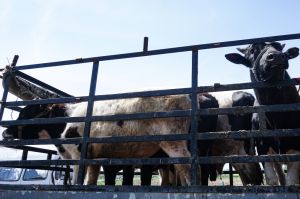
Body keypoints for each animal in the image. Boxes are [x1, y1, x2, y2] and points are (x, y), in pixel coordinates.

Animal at [225, 41, 300, 185]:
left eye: (278, 47)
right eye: (253, 50)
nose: (276, 56)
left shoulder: (296, 149)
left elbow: (291, 182)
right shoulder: (262, 149)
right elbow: (272, 180)